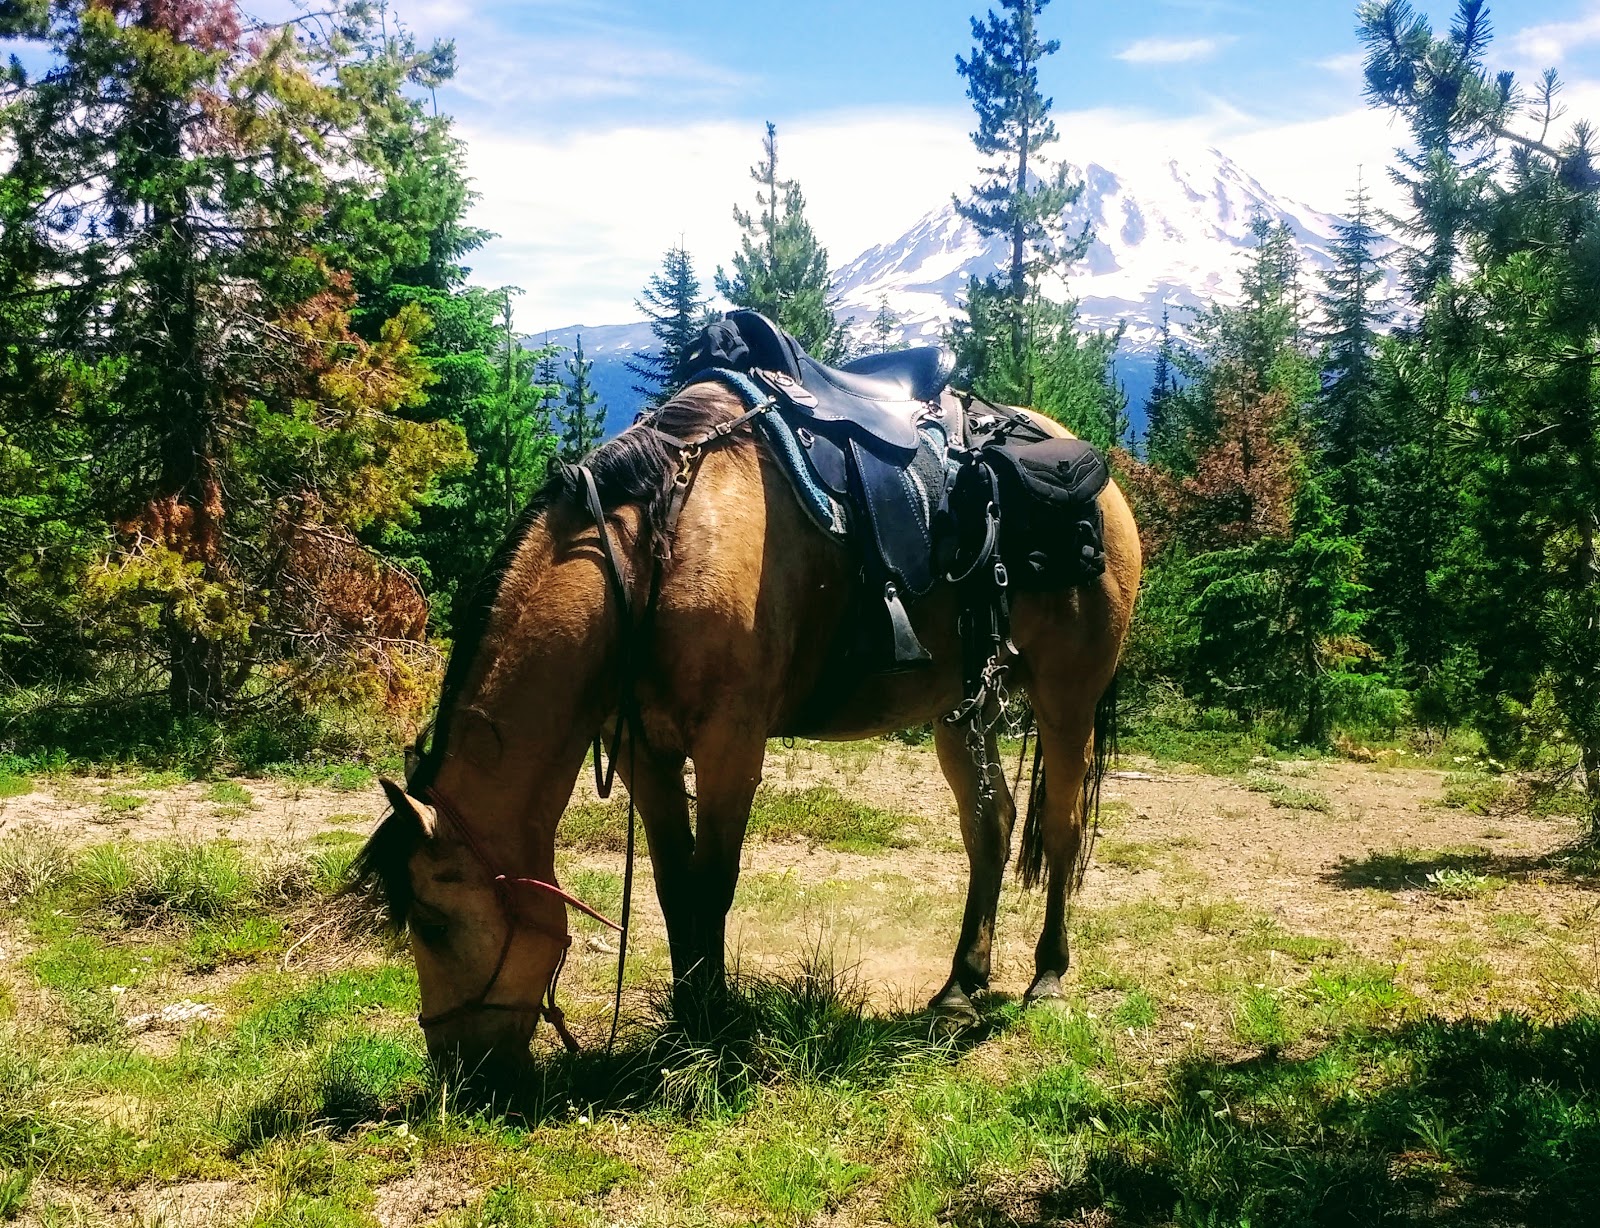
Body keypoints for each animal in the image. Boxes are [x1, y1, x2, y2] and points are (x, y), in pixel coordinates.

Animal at [352, 380, 1141, 1075]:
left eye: (433, 923)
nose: (456, 1066)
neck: (657, 552)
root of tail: (1104, 486)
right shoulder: (643, 752)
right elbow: (675, 884)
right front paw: (686, 1015)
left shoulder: (730, 743)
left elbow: (715, 881)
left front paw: (716, 1020)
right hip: (963, 707)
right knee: (991, 825)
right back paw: (959, 988)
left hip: (1067, 698)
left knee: (1063, 826)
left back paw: (1047, 975)